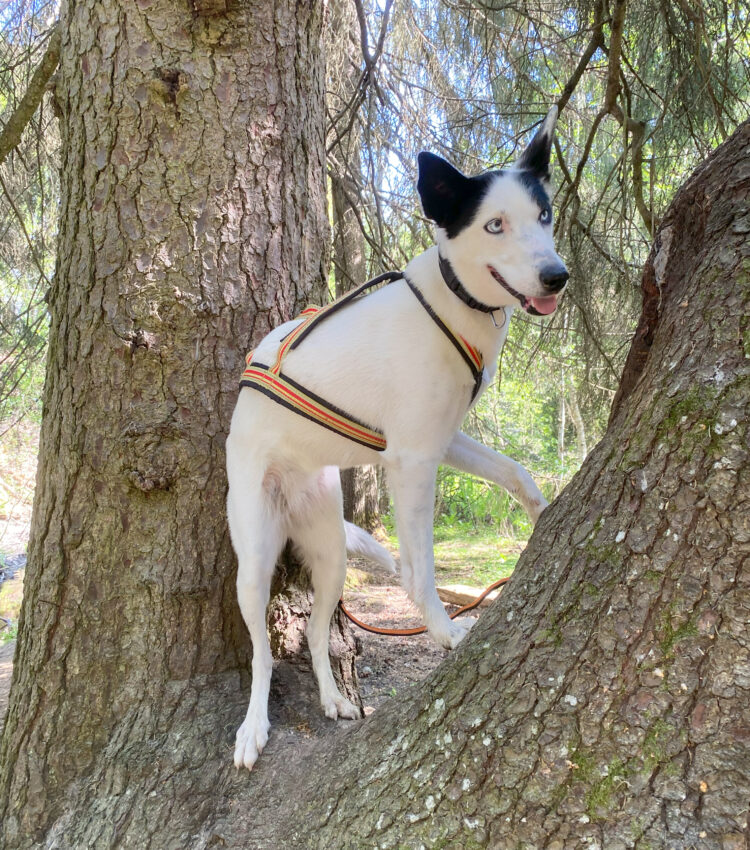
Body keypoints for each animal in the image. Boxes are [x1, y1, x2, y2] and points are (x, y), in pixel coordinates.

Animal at [226, 106, 568, 768]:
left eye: (544, 215)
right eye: (494, 224)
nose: (557, 276)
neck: (453, 304)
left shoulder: (441, 438)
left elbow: (516, 471)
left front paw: (544, 513)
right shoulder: (411, 460)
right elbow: (420, 568)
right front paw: (446, 632)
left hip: (329, 554)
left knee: (315, 634)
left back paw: (333, 698)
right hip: (252, 561)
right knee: (260, 655)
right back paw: (252, 728)